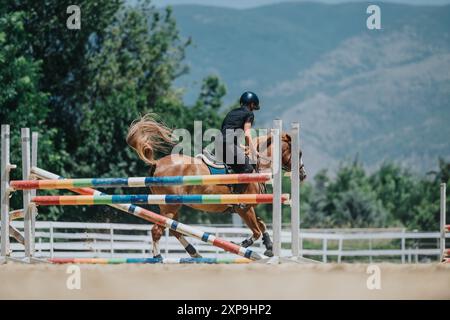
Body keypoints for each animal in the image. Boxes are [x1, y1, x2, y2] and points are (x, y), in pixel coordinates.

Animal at [127, 114, 310, 258]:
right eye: (299, 153)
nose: (303, 174)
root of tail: (157, 163)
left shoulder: (247, 207)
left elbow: (262, 224)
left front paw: (270, 247)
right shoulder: (244, 208)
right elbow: (257, 231)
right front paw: (242, 244)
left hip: (169, 206)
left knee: (173, 229)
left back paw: (194, 253)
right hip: (170, 206)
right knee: (157, 230)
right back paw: (158, 258)